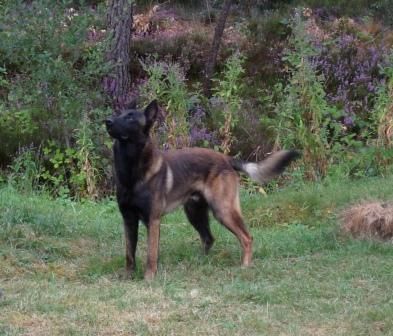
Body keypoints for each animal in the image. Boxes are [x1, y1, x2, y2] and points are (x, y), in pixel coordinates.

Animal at [104, 100, 298, 280]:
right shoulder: (129, 219)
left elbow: (151, 255)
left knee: (246, 237)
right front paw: (128, 276)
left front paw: (149, 278)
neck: (132, 171)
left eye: (130, 117)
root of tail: (227, 159)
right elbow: (129, 253)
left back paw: (245, 266)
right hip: (194, 212)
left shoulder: (153, 220)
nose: (107, 121)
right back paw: (200, 261)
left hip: (223, 211)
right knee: (208, 238)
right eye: (120, 114)